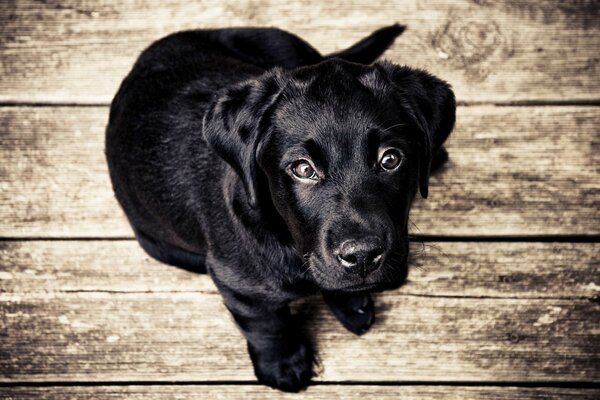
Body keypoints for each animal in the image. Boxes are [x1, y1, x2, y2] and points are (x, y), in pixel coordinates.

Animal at [106, 23, 454, 392]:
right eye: (302, 169)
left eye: (390, 159)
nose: (361, 257)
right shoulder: (238, 284)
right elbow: (267, 324)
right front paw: (283, 364)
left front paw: (349, 301)